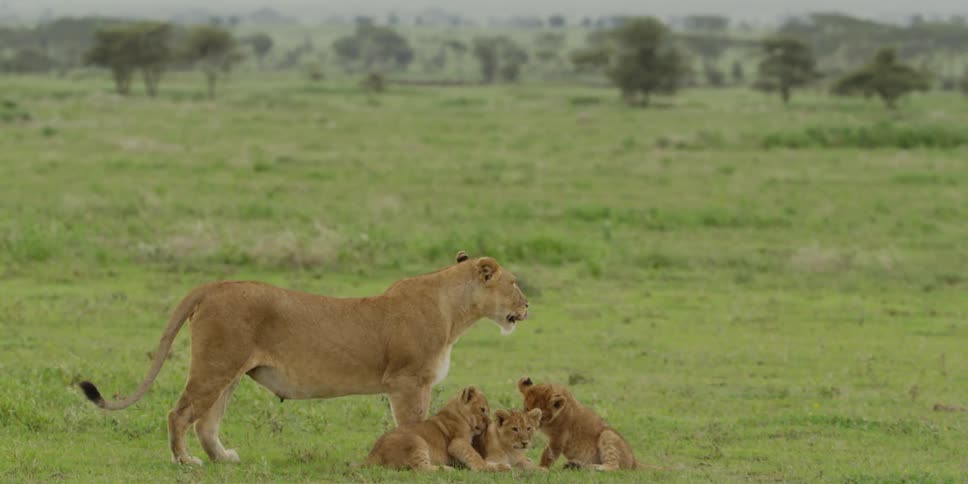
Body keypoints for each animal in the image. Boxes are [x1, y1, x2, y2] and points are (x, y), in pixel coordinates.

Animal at [362, 386, 508, 472]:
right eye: (482, 410)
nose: (490, 423)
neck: (457, 413)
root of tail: (372, 454)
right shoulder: (457, 443)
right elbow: (475, 456)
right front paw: (486, 467)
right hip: (416, 440)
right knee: (421, 469)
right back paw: (447, 469)